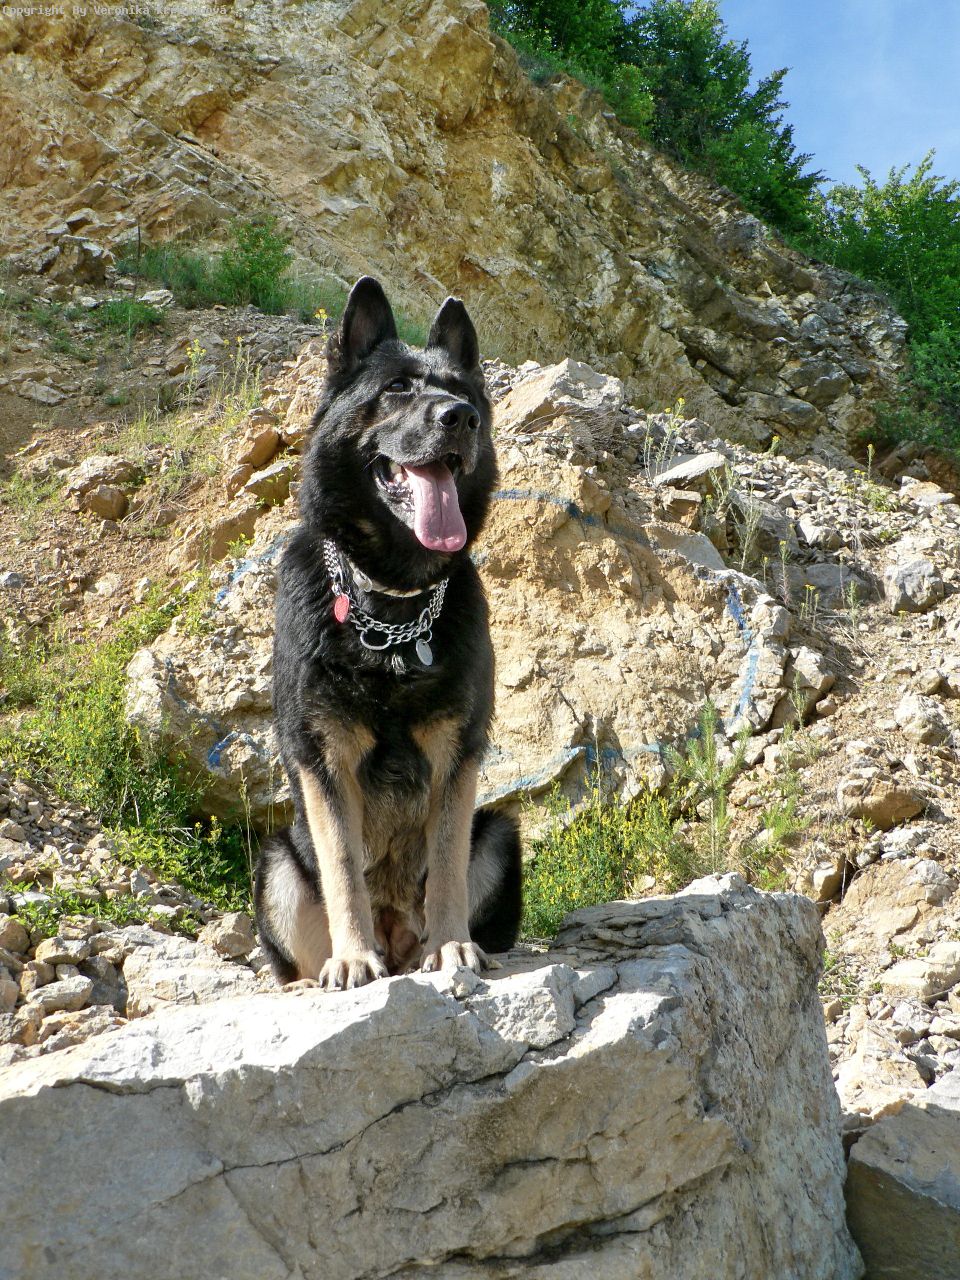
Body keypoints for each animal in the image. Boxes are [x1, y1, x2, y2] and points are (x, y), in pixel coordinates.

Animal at [254, 276, 522, 990]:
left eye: (461, 390)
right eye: (398, 388)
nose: (461, 417)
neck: (393, 611)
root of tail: (398, 941)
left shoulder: (458, 753)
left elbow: (448, 862)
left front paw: (453, 946)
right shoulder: (323, 759)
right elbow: (344, 867)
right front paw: (352, 955)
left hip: (501, 833)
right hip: (276, 864)